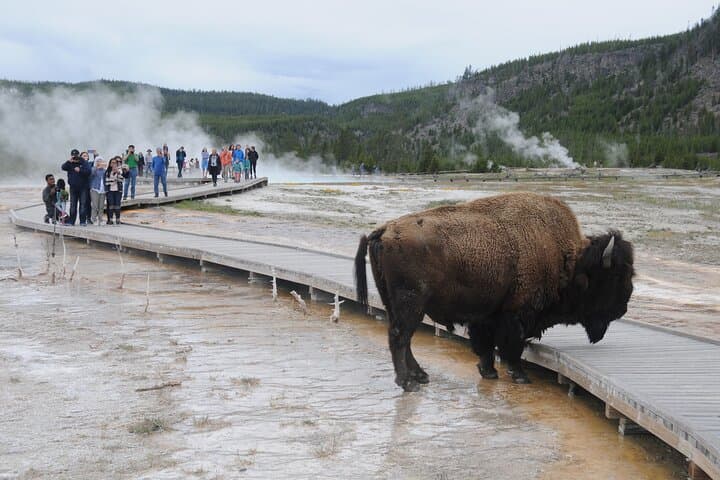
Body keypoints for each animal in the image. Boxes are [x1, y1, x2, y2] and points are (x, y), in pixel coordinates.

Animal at [354, 192, 634, 391]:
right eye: (614, 277)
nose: (623, 309)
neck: (568, 259)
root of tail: (384, 230)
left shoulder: (487, 315)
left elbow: (486, 346)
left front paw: (488, 372)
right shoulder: (517, 314)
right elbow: (513, 347)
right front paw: (520, 376)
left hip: (395, 303)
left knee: (404, 338)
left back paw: (421, 376)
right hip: (410, 304)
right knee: (399, 337)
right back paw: (408, 383)